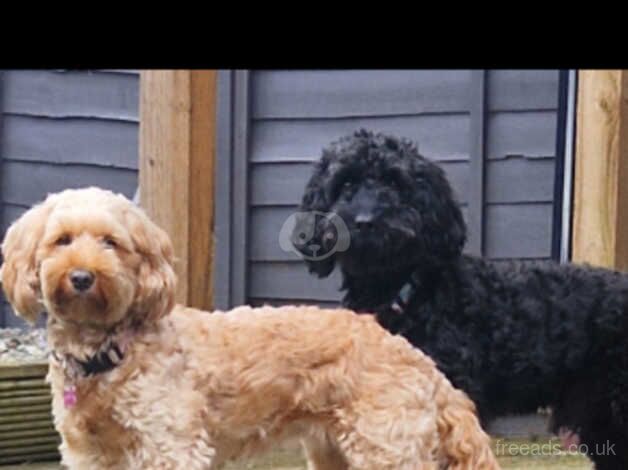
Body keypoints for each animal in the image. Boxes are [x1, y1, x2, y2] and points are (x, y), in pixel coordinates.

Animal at [1, 188, 500, 470]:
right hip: (335, 453)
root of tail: (424, 365)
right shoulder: (87, 453)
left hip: (388, 450)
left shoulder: (171, 446)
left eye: (111, 243)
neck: (110, 351)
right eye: (62, 240)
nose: (82, 277)